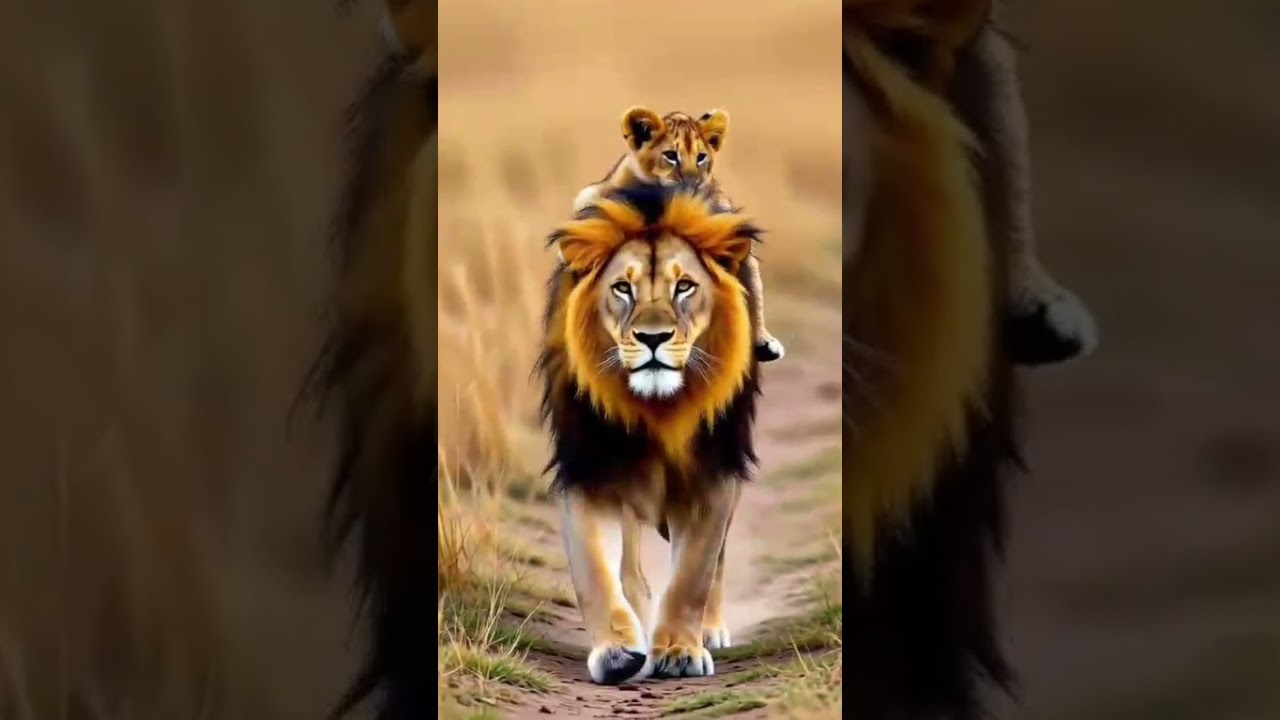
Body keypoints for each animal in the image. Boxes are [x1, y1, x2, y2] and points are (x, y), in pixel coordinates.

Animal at [536, 181, 763, 685]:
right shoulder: (590, 472)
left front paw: (679, 651)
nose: (653, 338)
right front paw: (619, 651)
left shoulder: (714, 475)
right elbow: (594, 571)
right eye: (623, 287)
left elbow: (694, 575)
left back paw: (708, 630)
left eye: (685, 286)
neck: (657, 409)